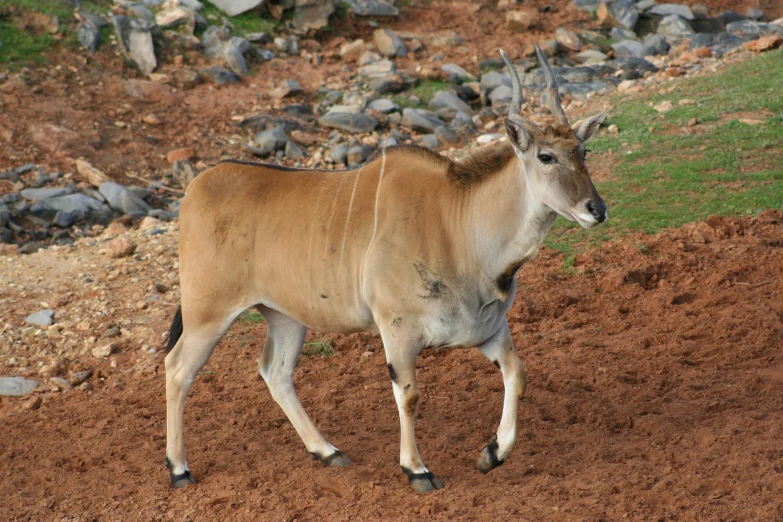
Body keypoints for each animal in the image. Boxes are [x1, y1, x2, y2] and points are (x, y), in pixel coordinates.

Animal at [164, 45, 608, 492]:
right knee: (178, 368)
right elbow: (408, 396)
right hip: (208, 311)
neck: (457, 224)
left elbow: (517, 374)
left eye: (583, 153)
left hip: (284, 315)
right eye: (546, 156)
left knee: (275, 371)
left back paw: (328, 451)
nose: (597, 209)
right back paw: (179, 468)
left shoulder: (487, 330)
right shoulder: (397, 331)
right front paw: (417, 470)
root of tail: (197, 186)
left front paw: (492, 454)